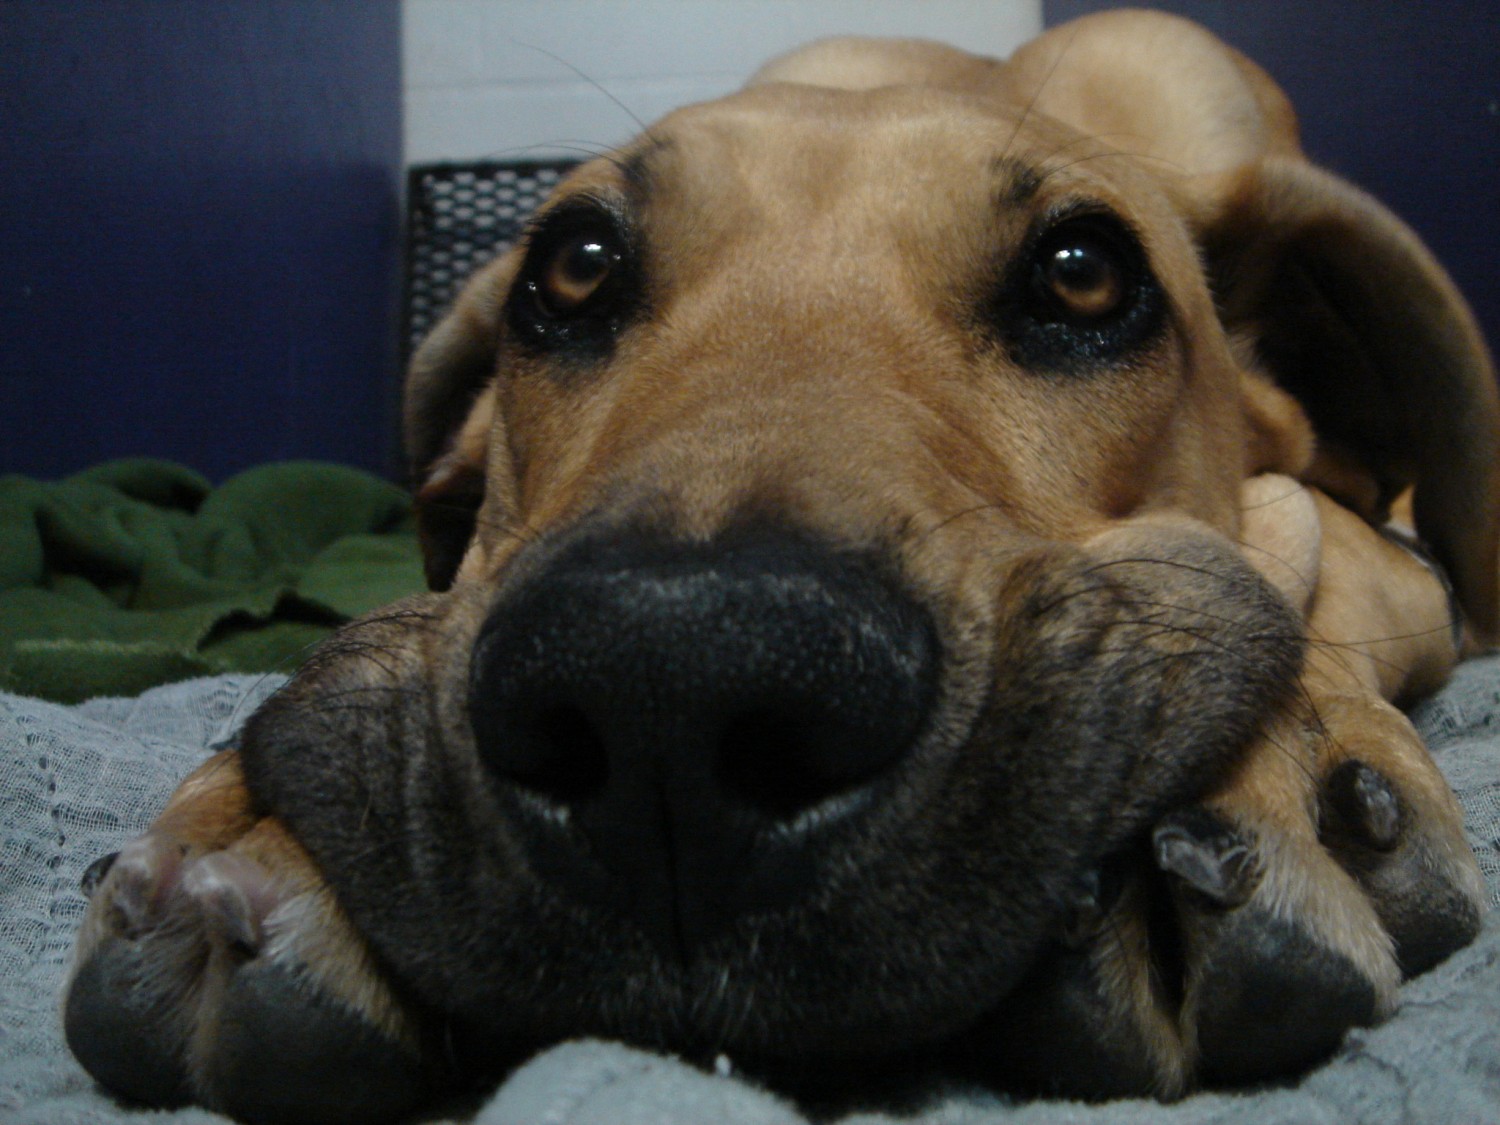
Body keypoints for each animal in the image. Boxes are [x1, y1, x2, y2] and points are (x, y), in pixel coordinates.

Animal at [64, 11, 1494, 1125]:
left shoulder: (1397, 556)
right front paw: (258, 835)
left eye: (1085, 275)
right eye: (572, 266)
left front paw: (1258, 769)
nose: (669, 691)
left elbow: (1296, 550)